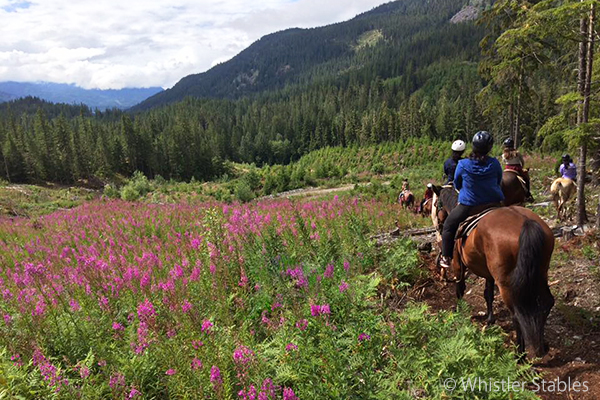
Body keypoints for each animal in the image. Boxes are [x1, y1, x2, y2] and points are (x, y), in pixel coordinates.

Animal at [448, 208, 556, 358]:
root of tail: (526, 222)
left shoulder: (458, 265)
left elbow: (460, 288)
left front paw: (460, 311)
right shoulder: (489, 274)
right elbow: (488, 294)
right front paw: (490, 319)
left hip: (505, 283)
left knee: (517, 314)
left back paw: (519, 355)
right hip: (540, 274)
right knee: (546, 303)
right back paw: (541, 346)